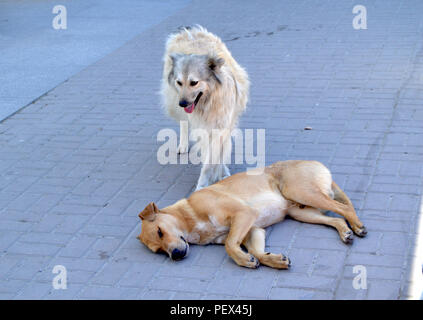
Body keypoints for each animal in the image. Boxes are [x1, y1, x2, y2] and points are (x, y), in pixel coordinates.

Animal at [137, 160, 366, 268]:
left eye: (159, 231)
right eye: (158, 250)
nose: (175, 255)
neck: (190, 215)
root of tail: (319, 165)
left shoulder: (244, 214)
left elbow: (230, 245)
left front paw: (243, 259)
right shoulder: (252, 230)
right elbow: (256, 251)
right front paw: (272, 260)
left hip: (300, 192)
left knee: (345, 208)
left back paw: (356, 225)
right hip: (301, 212)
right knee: (335, 218)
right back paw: (345, 231)